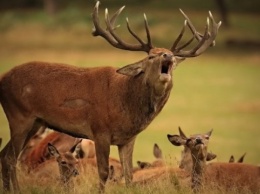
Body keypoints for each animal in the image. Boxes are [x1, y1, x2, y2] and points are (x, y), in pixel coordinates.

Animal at [0, 1, 220, 192]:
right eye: (151, 56)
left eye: (171, 58)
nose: (168, 56)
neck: (126, 105)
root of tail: (2, 79)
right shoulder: (100, 130)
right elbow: (104, 172)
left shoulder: (128, 138)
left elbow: (129, 174)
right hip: (20, 115)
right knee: (10, 157)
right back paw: (16, 190)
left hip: (36, 122)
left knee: (5, 155)